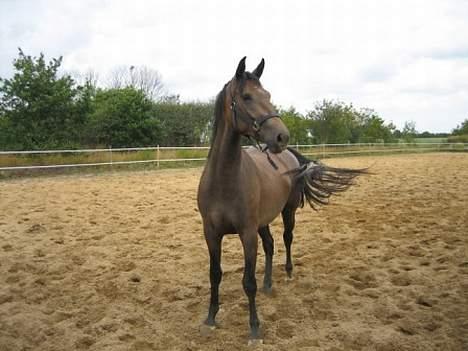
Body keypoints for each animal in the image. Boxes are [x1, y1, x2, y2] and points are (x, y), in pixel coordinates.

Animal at [197, 57, 366, 344]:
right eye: (246, 96)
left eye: (268, 95)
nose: (281, 137)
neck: (224, 181)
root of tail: (290, 155)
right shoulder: (211, 233)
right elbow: (215, 274)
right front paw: (210, 318)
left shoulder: (247, 233)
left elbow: (248, 282)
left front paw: (255, 329)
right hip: (263, 222)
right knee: (270, 245)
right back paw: (268, 283)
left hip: (287, 212)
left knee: (286, 239)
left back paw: (287, 273)